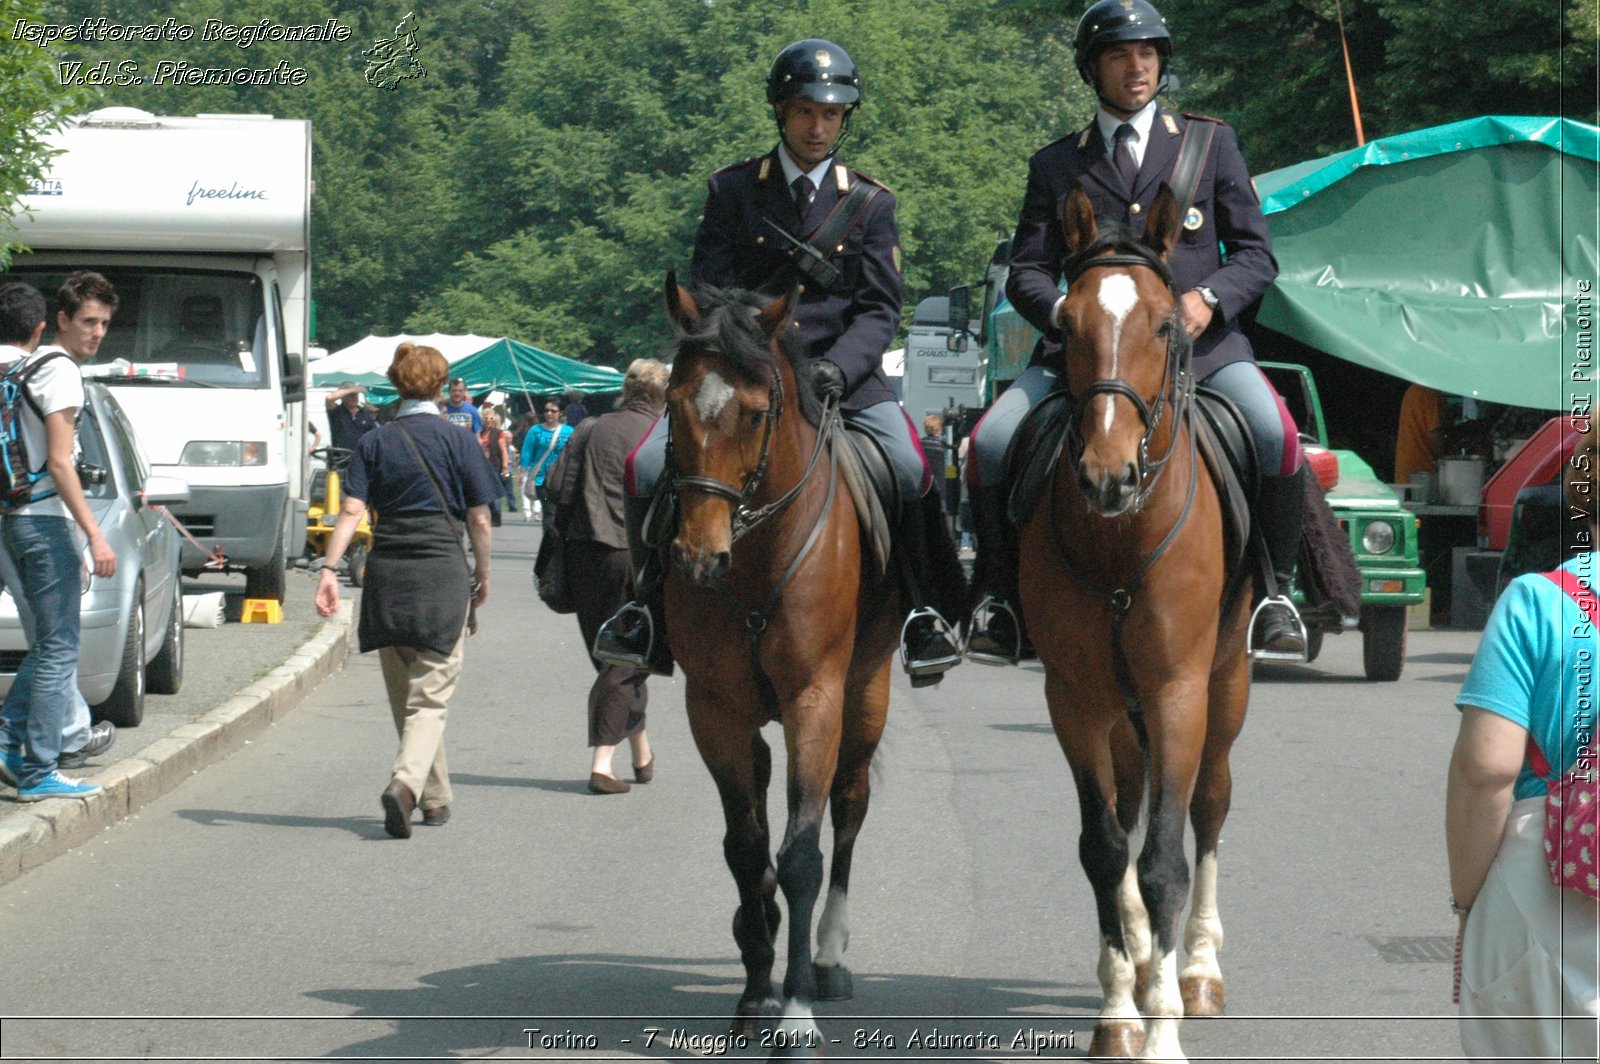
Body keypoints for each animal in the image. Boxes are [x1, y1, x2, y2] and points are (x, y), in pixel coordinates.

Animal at [659, 273, 902, 1056]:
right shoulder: (715, 709)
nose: (699, 559)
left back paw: (826, 958)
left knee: (849, 808)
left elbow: (800, 856)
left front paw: (793, 1012)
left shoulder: (815, 700)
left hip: (867, 695)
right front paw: (756, 994)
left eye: (757, 412)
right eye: (672, 403)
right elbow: (746, 848)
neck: (758, 556)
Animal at [1017, 186, 1254, 1056]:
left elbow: (1164, 862)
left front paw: (1162, 1030)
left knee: (1210, 804)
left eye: (1162, 325)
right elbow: (1105, 848)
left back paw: (1196, 969)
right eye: (1067, 323)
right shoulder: (1074, 699)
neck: (1121, 537)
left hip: (1225, 688)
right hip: (1121, 715)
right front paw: (1121, 1009)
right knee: (1127, 812)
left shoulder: (1179, 691)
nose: (1108, 476)